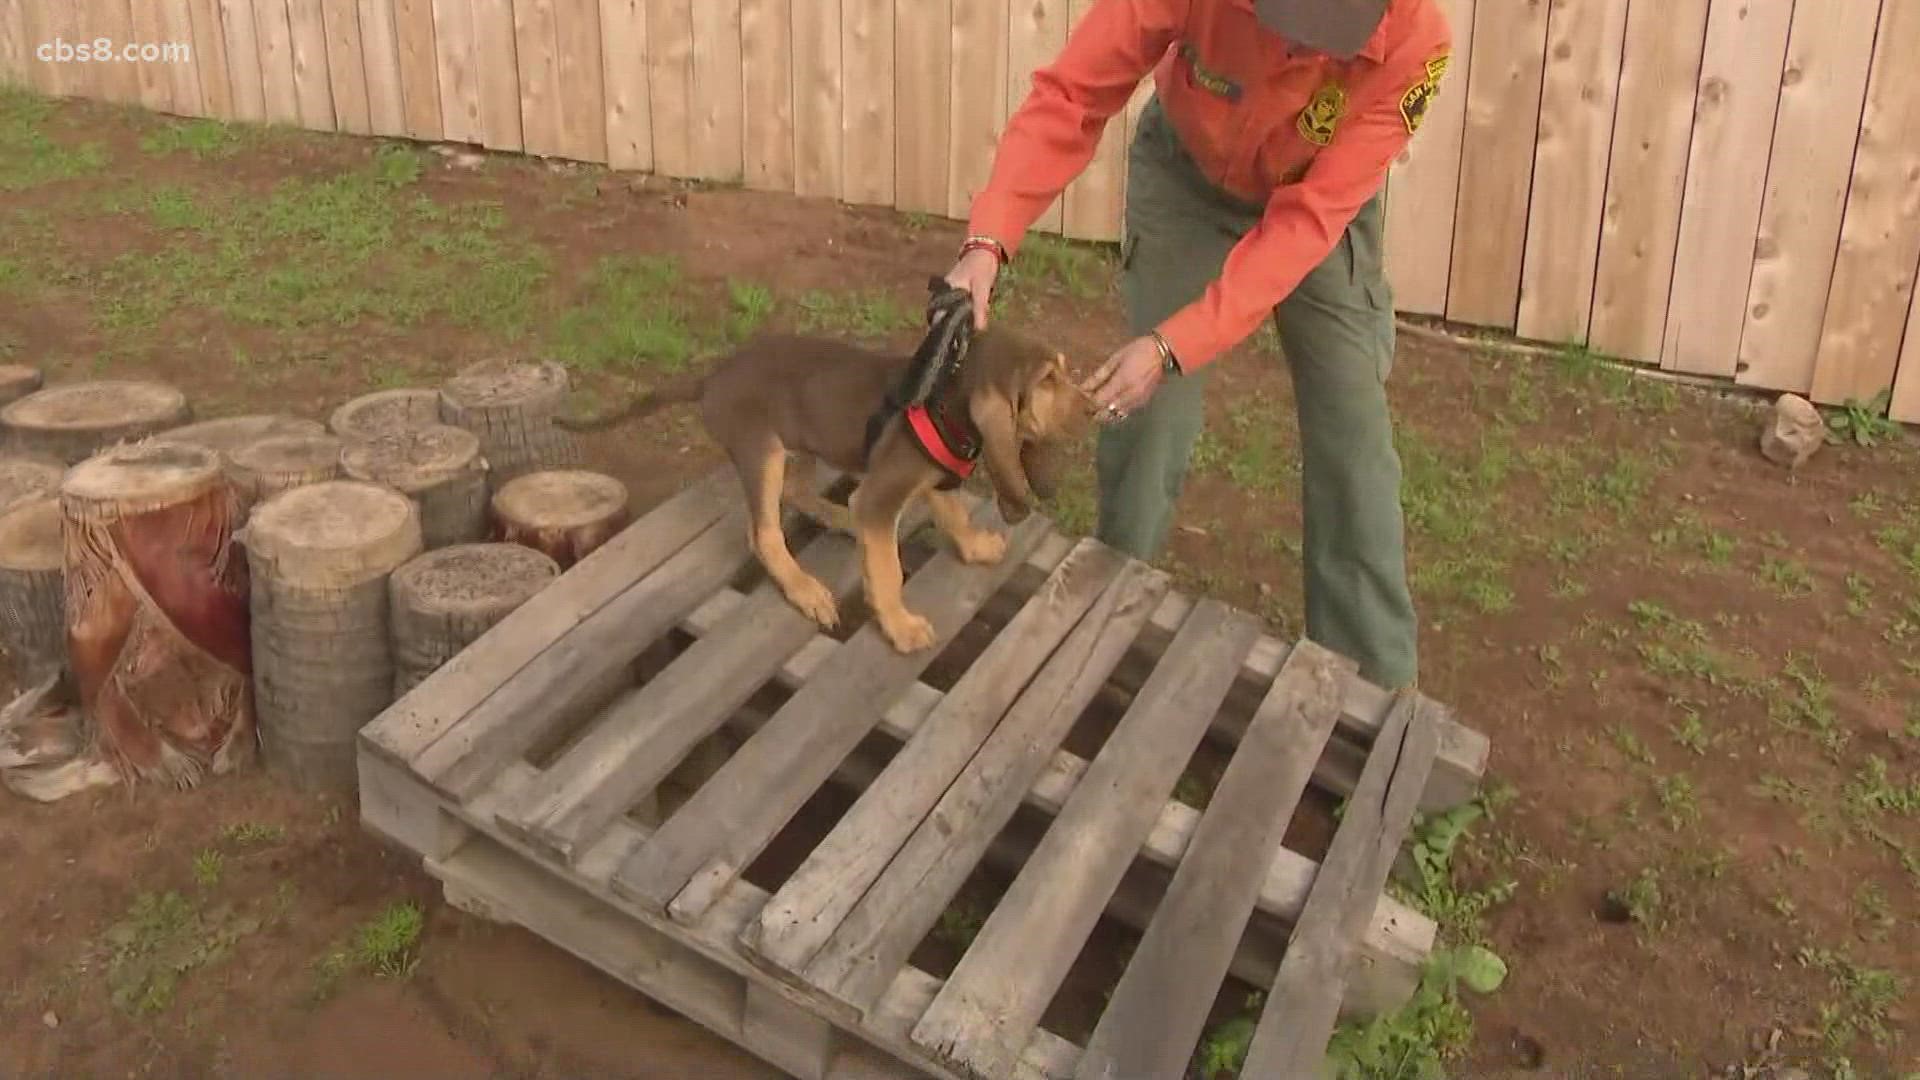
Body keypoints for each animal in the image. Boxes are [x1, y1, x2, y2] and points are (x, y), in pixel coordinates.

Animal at [560, 326, 1090, 645]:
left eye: (1064, 370)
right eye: (1047, 380)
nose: (1094, 409)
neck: (945, 400)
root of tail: (711, 379)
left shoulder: (931, 480)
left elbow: (954, 515)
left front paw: (976, 547)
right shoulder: (881, 495)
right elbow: (887, 571)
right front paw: (900, 626)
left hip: (801, 443)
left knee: (797, 493)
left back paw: (840, 519)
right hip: (761, 449)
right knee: (764, 533)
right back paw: (806, 589)